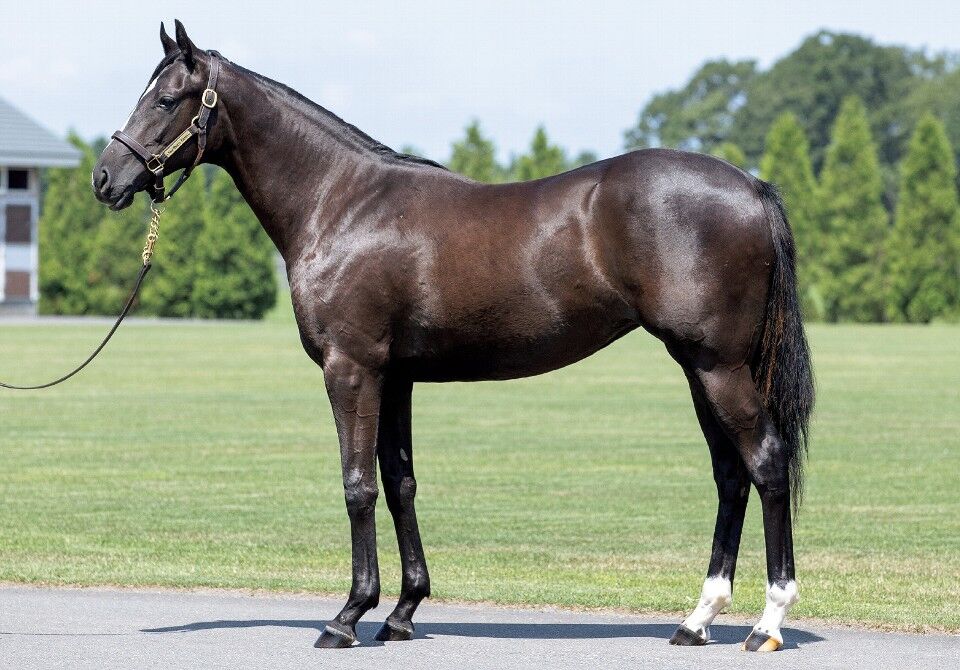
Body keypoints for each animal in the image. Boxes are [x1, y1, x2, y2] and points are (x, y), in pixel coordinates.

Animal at [93, 21, 814, 652]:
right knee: (730, 475)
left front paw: (347, 616)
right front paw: (402, 611)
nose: (105, 178)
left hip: (718, 365)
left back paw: (766, 623)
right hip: (700, 366)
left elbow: (357, 485)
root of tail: (751, 186)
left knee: (765, 463)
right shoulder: (395, 377)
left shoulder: (350, 369)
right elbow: (399, 482)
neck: (341, 203)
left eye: (165, 99)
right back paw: (698, 619)